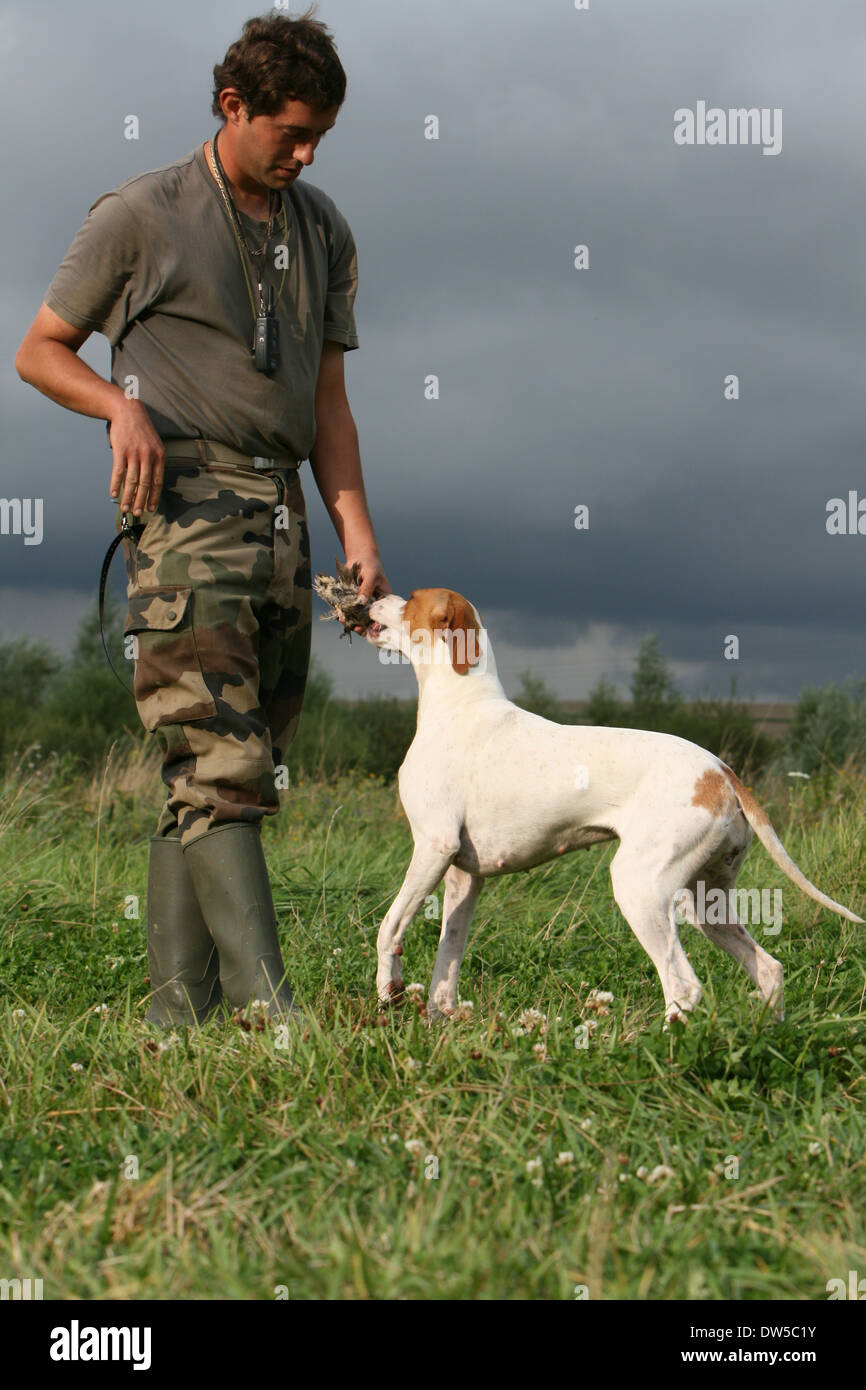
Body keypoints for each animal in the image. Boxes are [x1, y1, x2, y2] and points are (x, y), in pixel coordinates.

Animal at [364, 581, 861, 1028]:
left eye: (410, 598)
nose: (372, 596)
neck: (460, 703)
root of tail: (721, 771)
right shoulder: (465, 876)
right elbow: (446, 964)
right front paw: (439, 1024)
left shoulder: (434, 847)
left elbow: (389, 929)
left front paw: (387, 996)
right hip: (707, 904)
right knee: (768, 969)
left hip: (639, 888)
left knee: (683, 987)